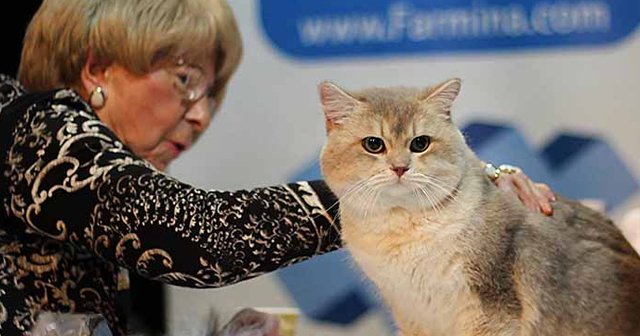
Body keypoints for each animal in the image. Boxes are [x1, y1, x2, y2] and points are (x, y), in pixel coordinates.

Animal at [318, 79, 640, 336]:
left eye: (420, 143)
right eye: (373, 144)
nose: (400, 168)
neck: (403, 229)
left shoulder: (489, 311)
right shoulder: (411, 314)